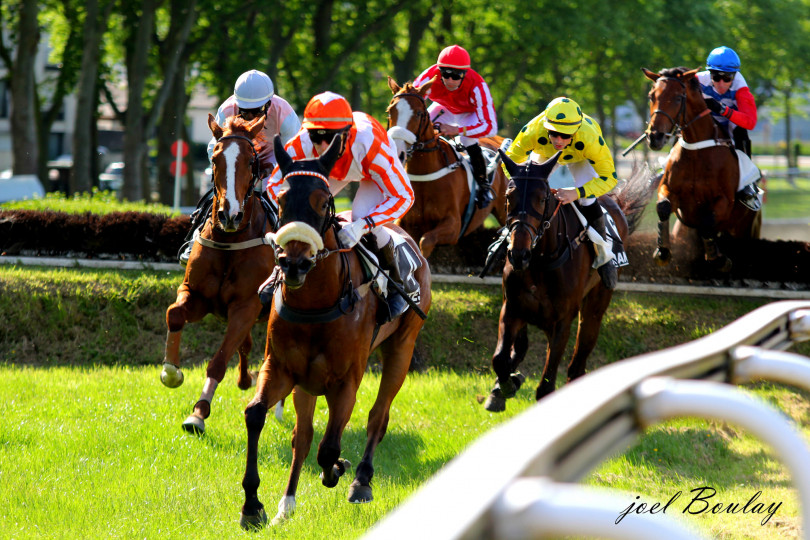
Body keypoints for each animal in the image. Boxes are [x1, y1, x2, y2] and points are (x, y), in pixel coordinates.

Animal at [159, 114, 276, 434]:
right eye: (215, 159)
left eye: (250, 160)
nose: (229, 215)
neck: (229, 242)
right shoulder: (197, 295)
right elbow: (174, 313)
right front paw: (171, 373)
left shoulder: (247, 306)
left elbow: (219, 361)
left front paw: (198, 413)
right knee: (246, 345)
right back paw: (246, 379)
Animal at [238, 134, 432, 528]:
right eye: (281, 199)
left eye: (324, 201)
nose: (294, 263)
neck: (316, 303)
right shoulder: (281, 369)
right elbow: (257, 414)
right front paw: (253, 505)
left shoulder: (346, 381)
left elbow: (329, 449)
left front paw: (338, 470)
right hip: (307, 381)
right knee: (303, 435)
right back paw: (287, 505)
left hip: (402, 349)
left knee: (377, 416)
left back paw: (361, 481)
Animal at [386, 76, 504, 260]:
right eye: (390, 111)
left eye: (418, 113)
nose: (398, 152)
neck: (425, 174)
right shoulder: (406, 223)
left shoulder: (453, 226)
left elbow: (425, 241)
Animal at [480, 150, 652, 412]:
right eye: (509, 197)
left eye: (542, 199)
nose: (518, 254)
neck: (540, 261)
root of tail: (616, 202)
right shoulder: (512, 308)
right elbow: (500, 359)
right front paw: (504, 387)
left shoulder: (562, 320)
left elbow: (546, 385)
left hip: (595, 308)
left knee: (578, 363)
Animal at [640, 67, 760, 270]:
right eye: (651, 96)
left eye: (678, 98)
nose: (654, 137)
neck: (697, 150)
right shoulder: (670, 191)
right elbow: (663, 206)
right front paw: (662, 251)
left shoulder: (724, 201)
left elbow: (707, 222)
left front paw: (718, 258)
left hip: (742, 229)